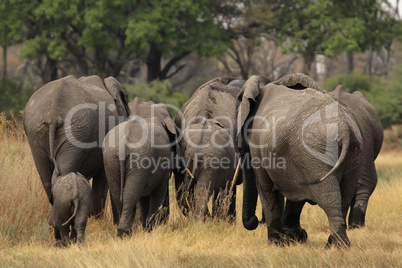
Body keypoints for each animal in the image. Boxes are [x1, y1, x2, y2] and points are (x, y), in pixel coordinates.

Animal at [23, 74, 130, 219]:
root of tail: (53, 113)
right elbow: (102, 178)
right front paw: (97, 219)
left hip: (38, 133)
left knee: (46, 177)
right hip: (74, 132)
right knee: (64, 172)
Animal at [102, 98, 184, 237]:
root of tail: (124, 143)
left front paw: (147, 228)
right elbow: (159, 191)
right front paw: (151, 229)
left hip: (111, 159)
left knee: (119, 194)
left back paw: (123, 232)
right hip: (139, 160)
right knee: (131, 195)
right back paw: (126, 233)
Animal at [237, 73, 362, 247]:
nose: (254, 220)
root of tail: (344, 128)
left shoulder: (258, 143)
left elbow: (266, 187)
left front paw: (276, 244)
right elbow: (295, 194)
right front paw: (292, 237)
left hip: (317, 154)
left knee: (329, 199)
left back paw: (337, 247)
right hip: (353, 154)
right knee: (345, 194)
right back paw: (335, 244)